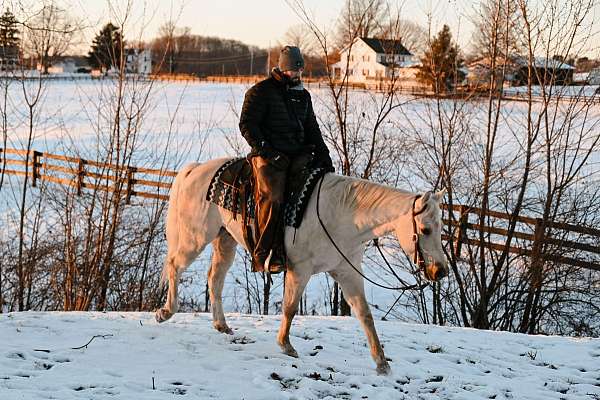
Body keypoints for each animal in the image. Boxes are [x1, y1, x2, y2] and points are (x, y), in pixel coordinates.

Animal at [157, 159, 448, 376]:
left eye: (442, 228)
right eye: (425, 229)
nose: (441, 271)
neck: (342, 216)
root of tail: (195, 170)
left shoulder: (347, 272)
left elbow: (365, 314)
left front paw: (382, 363)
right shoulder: (300, 269)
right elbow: (290, 306)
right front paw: (286, 346)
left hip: (225, 239)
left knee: (215, 278)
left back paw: (221, 325)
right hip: (195, 237)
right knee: (174, 266)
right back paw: (165, 312)